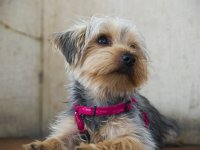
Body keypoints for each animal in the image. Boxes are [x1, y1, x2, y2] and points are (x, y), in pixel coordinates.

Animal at [23, 16, 178, 150]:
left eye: (133, 46)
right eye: (102, 40)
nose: (130, 57)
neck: (100, 102)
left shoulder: (137, 137)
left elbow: (116, 142)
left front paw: (89, 147)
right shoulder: (71, 127)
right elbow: (59, 138)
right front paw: (41, 144)